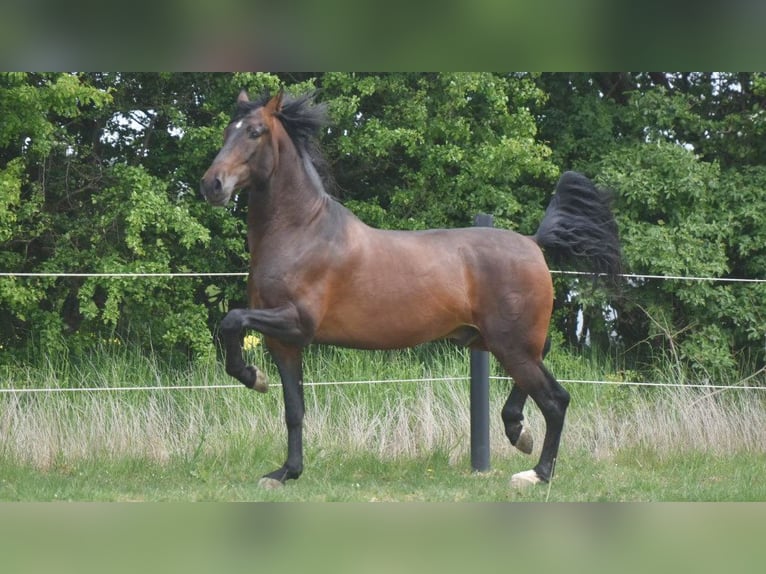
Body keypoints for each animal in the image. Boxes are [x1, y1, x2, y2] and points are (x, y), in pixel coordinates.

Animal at [201, 90, 620, 490]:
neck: (302, 232)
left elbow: (231, 320)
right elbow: (293, 409)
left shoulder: (296, 322)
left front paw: (253, 377)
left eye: (255, 131)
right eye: (225, 132)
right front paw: (285, 471)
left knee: (556, 400)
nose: (211, 184)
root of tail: (534, 243)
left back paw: (536, 472)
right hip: (492, 340)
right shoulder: (284, 341)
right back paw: (518, 430)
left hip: (510, 345)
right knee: (541, 366)